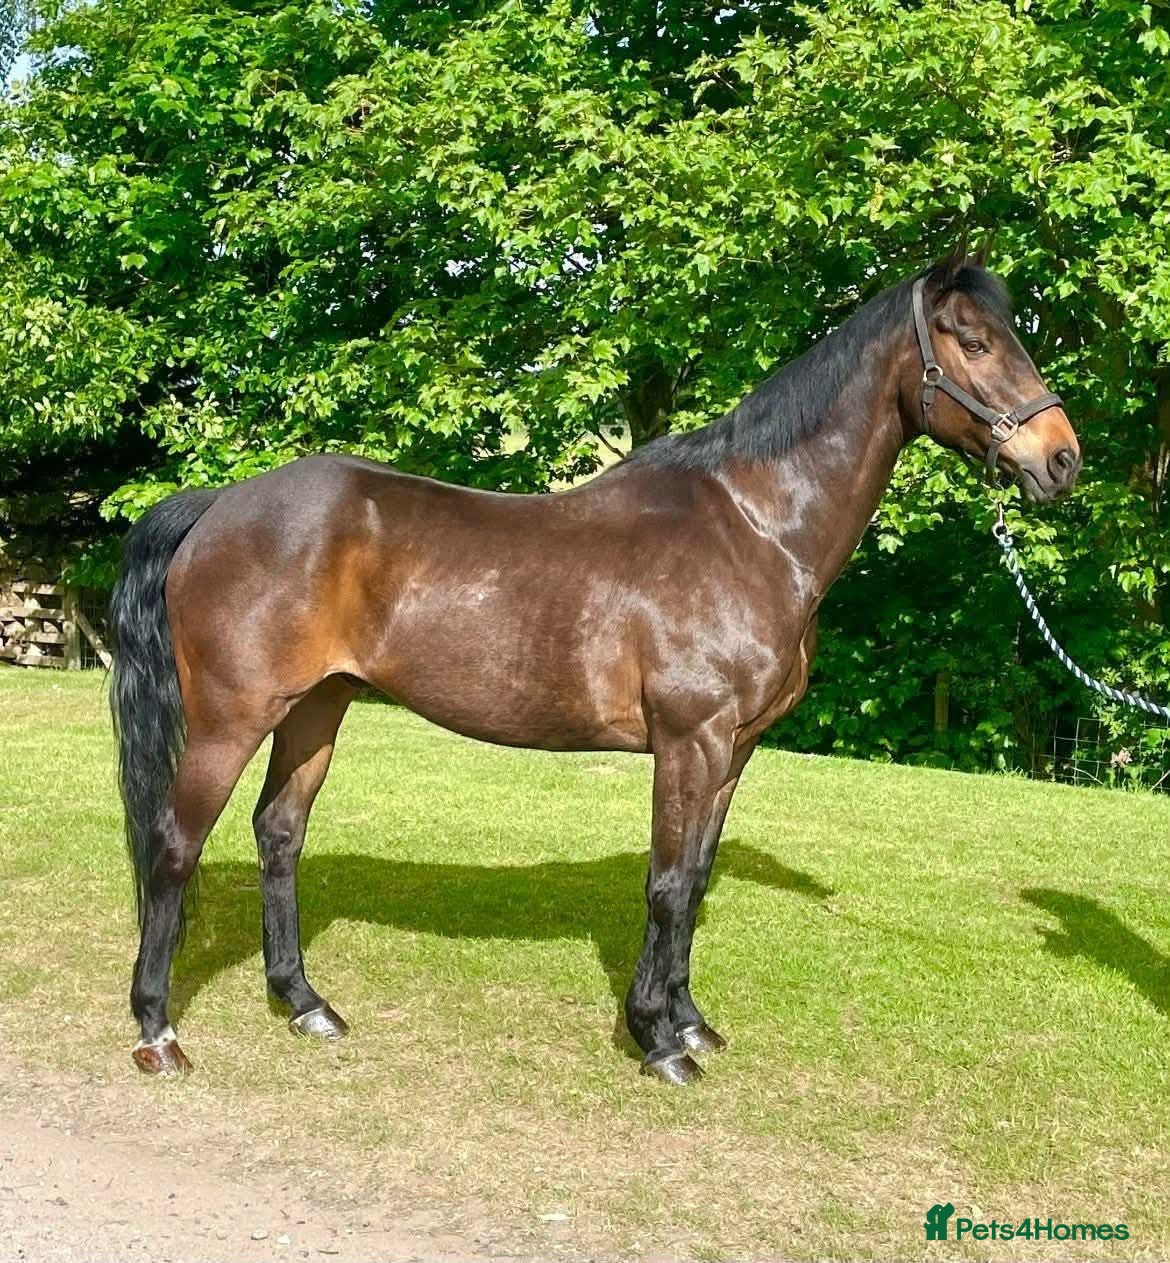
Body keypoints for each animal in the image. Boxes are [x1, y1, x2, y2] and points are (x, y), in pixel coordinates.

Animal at [109, 248, 1081, 1086]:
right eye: (976, 341)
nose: (1061, 458)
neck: (755, 526)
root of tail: (218, 506)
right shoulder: (691, 740)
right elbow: (667, 883)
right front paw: (658, 1041)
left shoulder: (734, 750)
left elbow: (696, 880)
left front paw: (690, 1021)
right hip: (233, 718)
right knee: (174, 843)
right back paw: (157, 1029)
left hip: (319, 707)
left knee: (279, 833)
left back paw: (305, 1003)